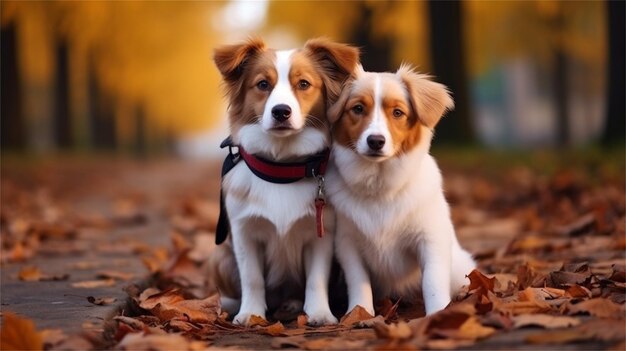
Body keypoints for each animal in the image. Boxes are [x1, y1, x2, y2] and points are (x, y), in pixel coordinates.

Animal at [208, 37, 356, 328]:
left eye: (304, 84)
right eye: (263, 84)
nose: (281, 112)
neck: (281, 167)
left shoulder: (321, 235)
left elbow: (316, 279)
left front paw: (319, 313)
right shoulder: (244, 233)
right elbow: (252, 278)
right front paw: (250, 314)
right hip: (220, 256)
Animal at [324, 64, 476, 318]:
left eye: (397, 112)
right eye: (358, 109)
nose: (376, 141)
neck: (380, 187)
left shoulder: (431, 239)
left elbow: (432, 281)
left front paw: (437, 313)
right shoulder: (347, 243)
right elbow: (358, 281)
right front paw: (359, 312)